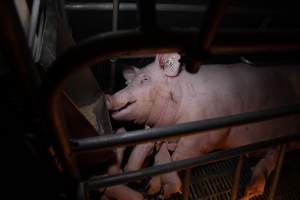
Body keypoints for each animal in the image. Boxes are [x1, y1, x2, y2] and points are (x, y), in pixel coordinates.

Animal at [106, 52, 300, 199]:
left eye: (145, 79)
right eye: (127, 83)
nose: (108, 98)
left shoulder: (202, 138)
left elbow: (177, 159)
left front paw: (162, 191)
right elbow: (150, 149)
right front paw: (142, 182)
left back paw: (248, 193)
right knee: (272, 156)